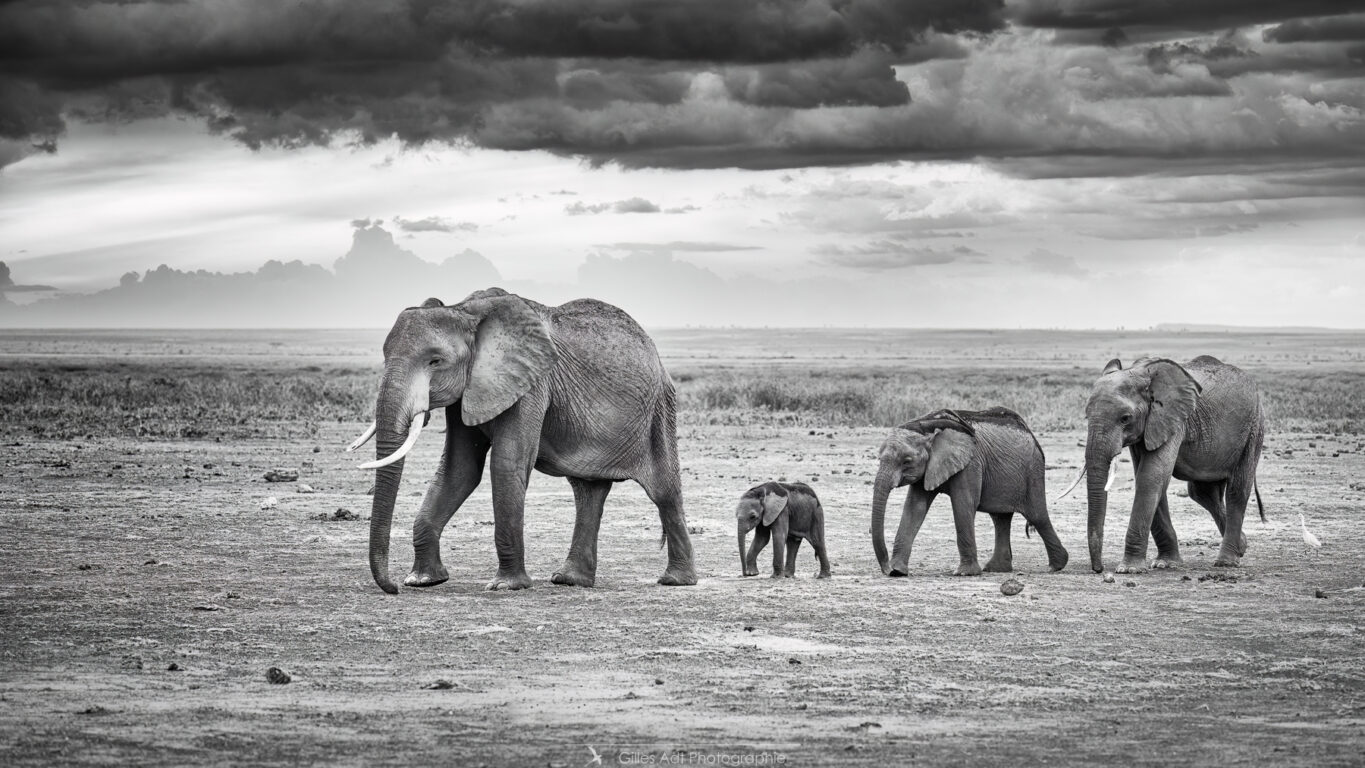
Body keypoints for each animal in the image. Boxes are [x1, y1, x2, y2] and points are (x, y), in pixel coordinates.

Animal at [346, 289, 698, 594]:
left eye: (435, 361)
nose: (392, 588)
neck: (465, 310)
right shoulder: (469, 390)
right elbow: (459, 470)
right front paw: (423, 581)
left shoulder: (531, 383)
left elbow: (507, 464)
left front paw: (506, 586)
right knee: (587, 491)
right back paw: (570, 580)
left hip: (659, 409)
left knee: (664, 490)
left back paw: (675, 581)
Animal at [873, 409, 1064, 578]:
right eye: (879, 458)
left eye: (907, 461)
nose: (887, 569)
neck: (927, 426)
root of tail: (1032, 435)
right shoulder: (928, 469)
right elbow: (915, 508)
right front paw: (898, 572)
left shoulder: (971, 463)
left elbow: (963, 504)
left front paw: (965, 573)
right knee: (1000, 519)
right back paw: (996, 569)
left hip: (1032, 472)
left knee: (1037, 516)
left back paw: (1056, 567)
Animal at [1059, 357, 1261, 572]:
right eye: (1087, 416)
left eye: (1125, 418)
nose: (1099, 569)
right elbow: (1153, 480)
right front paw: (1166, 563)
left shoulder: (1173, 419)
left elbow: (1150, 477)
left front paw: (1129, 569)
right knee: (1203, 493)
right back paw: (1241, 547)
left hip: (1254, 427)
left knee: (1237, 491)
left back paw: (1226, 562)